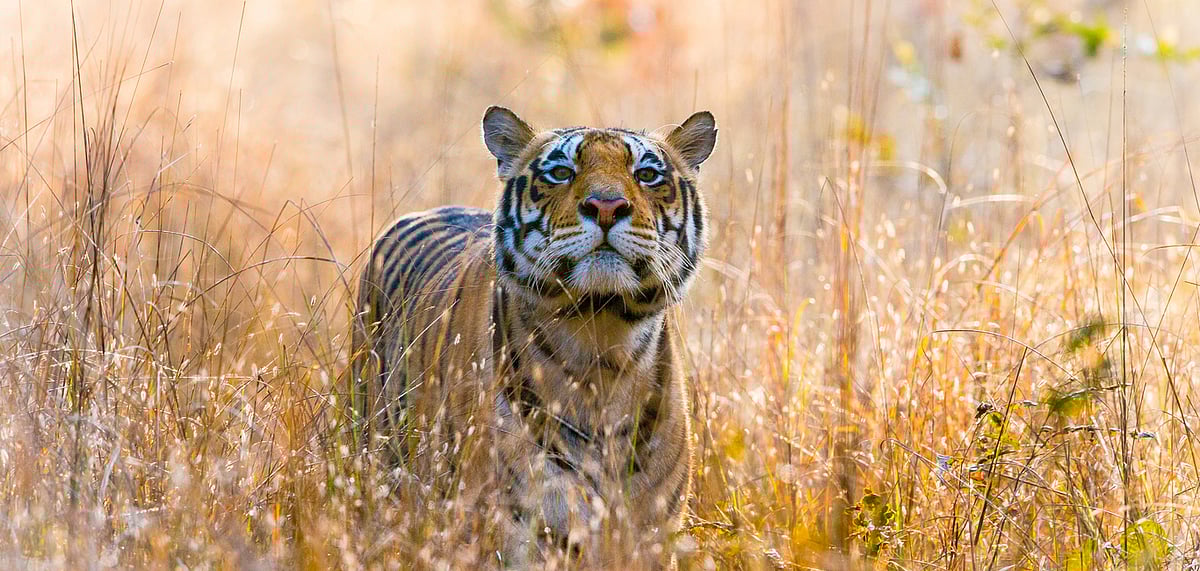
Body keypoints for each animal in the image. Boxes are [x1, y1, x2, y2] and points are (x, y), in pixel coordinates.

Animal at [351, 106, 716, 568]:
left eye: (647, 174)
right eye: (561, 172)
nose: (607, 206)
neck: (600, 346)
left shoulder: (648, 535)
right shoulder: (518, 526)